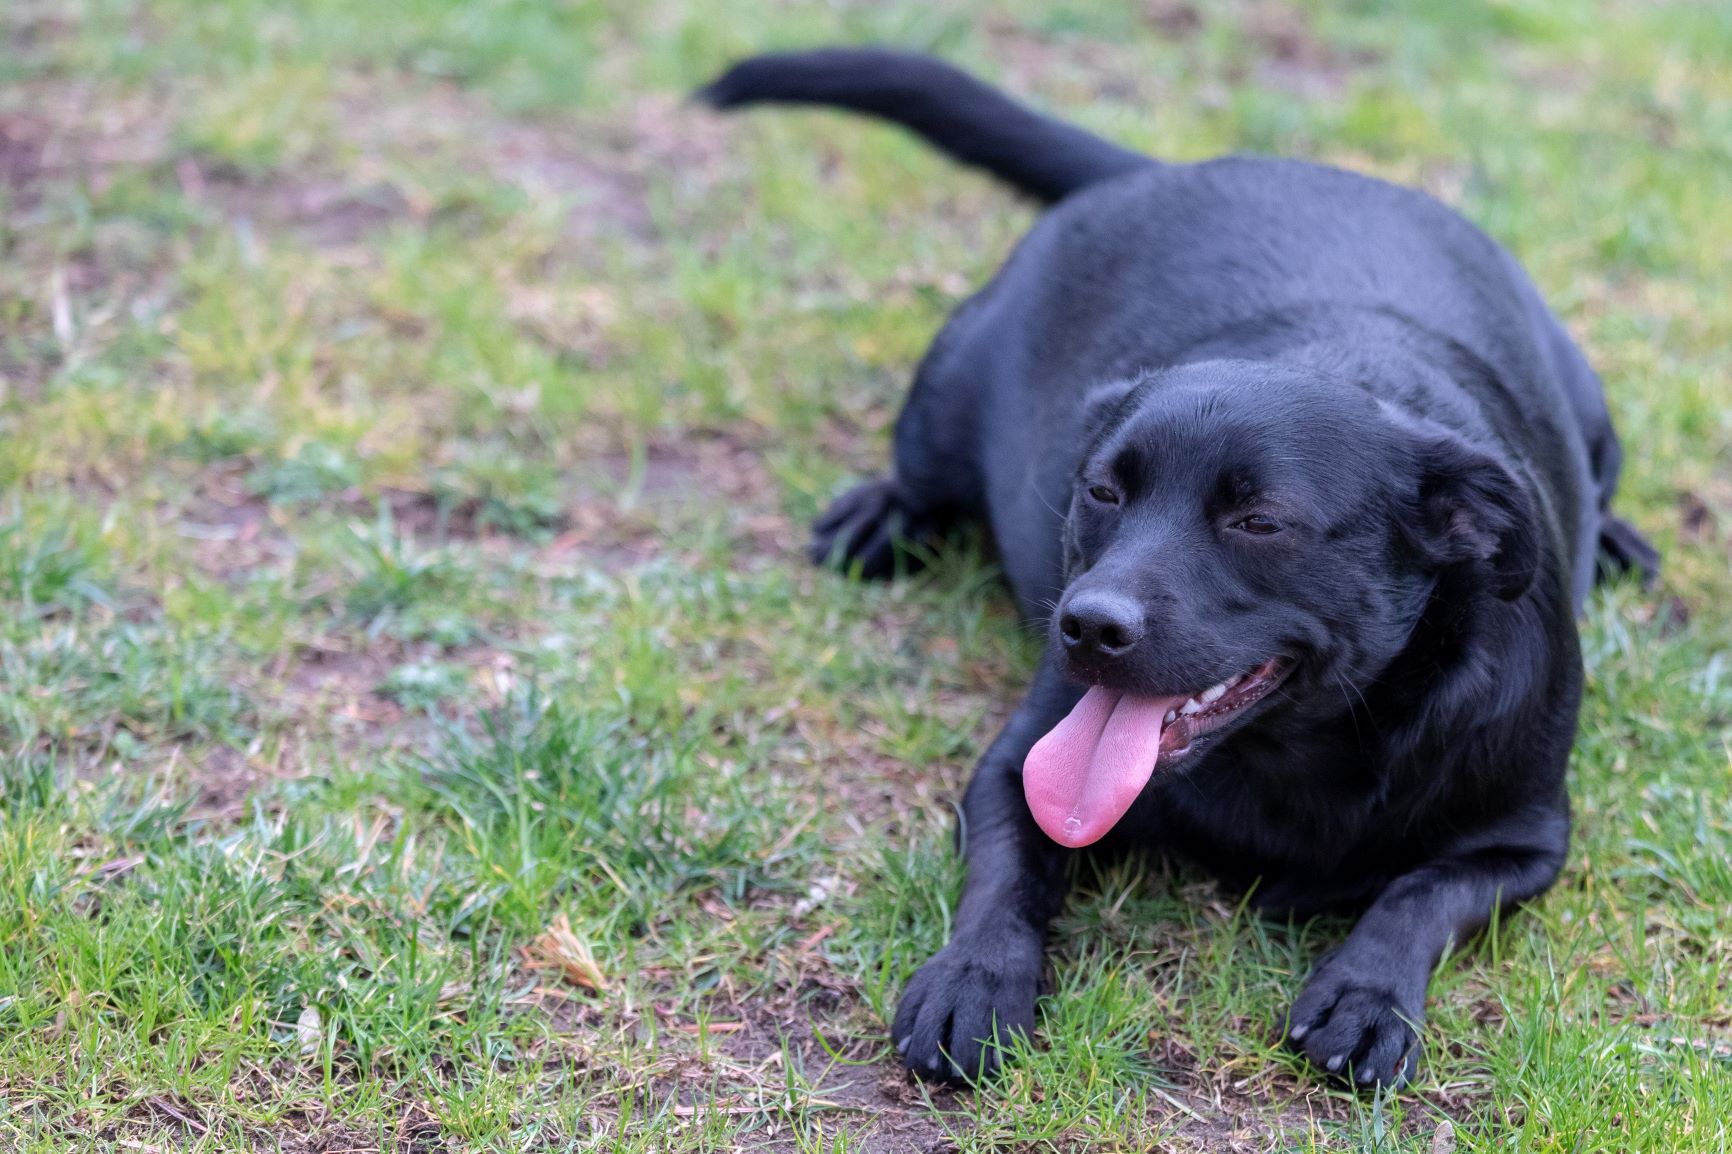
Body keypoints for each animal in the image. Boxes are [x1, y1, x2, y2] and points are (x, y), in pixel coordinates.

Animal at [699, 47, 1648, 1088]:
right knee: (921, 470)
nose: (1087, 625)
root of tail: (1166, 167)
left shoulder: (1524, 840)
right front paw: (975, 976)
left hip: (1594, 408)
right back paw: (882, 515)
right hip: (946, 390)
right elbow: (1006, 876)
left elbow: (1422, 893)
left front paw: (1366, 993)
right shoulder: (1017, 766)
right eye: (1102, 491)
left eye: (1259, 520)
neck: (1299, 754)